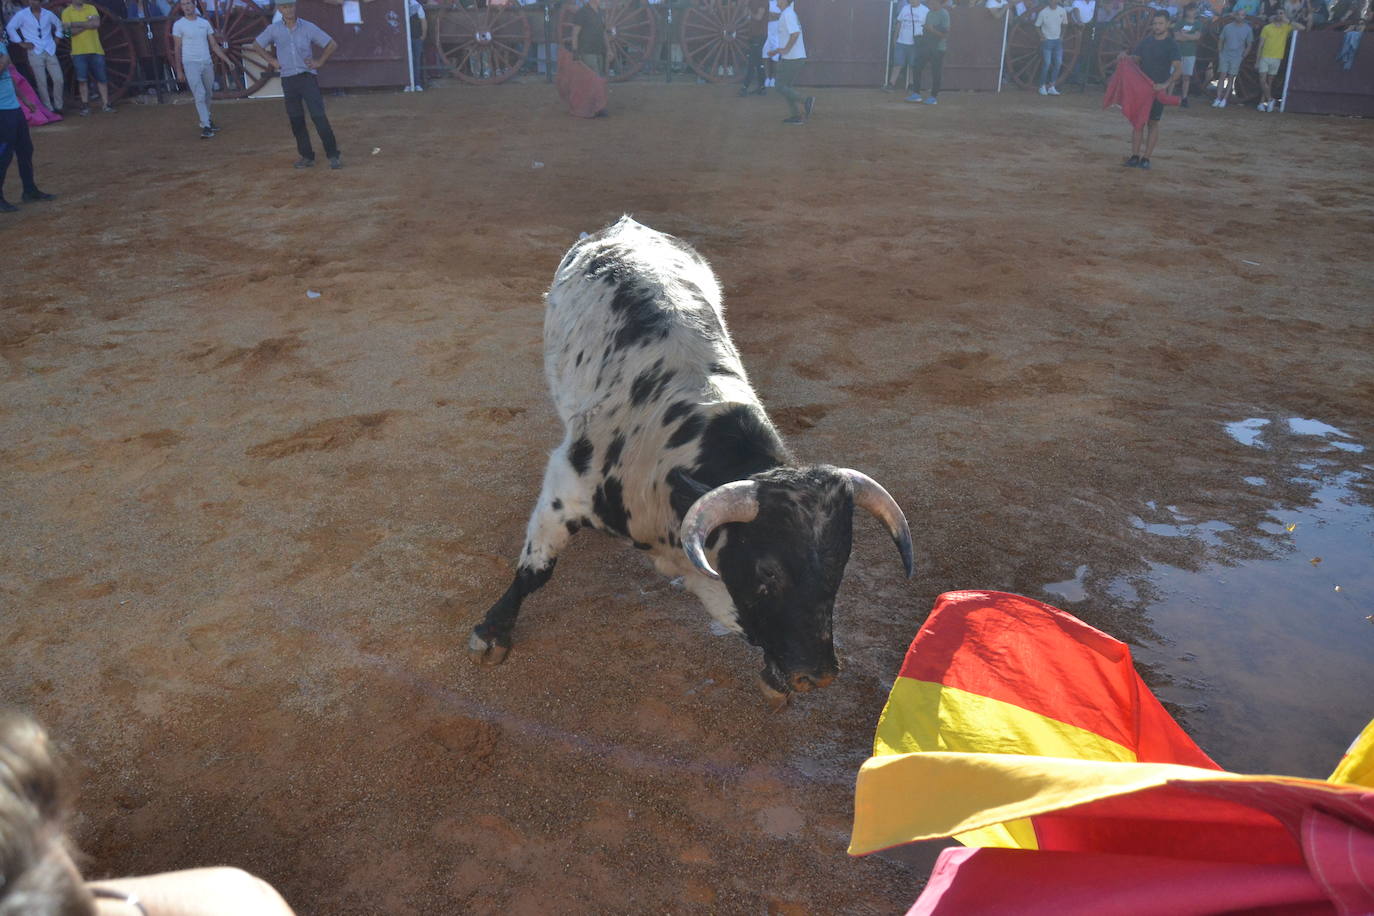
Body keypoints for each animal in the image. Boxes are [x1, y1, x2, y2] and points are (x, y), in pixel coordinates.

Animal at [469, 218, 912, 708]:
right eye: (767, 570)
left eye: (840, 562)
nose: (816, 675)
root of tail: (625, 225)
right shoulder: (564, 491)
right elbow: (535, 571)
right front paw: (491, 632)